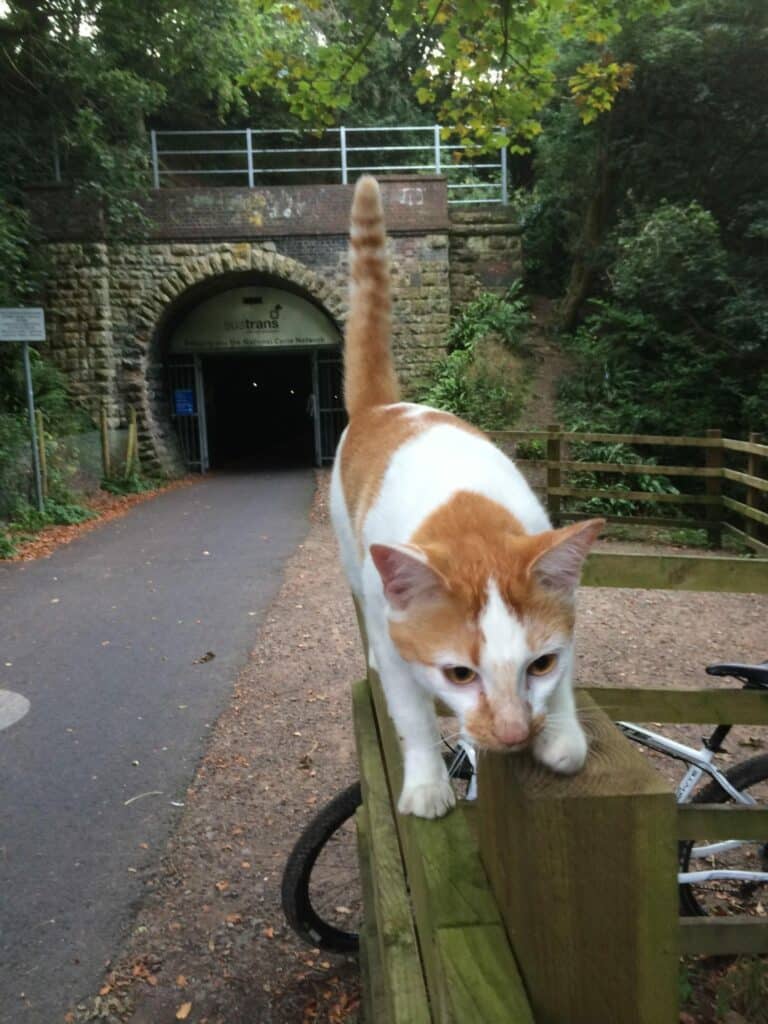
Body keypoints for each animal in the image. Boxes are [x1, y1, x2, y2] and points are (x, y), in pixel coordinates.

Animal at [333, 174, 606, 815]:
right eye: (459, 674)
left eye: (540, 664)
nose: (513, 734)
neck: (469, 522)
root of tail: (384, 406)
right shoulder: (399, 644)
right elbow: (412, 717)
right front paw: (428, 784)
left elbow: (568, 685)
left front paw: (561, 737)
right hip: (352, 555)